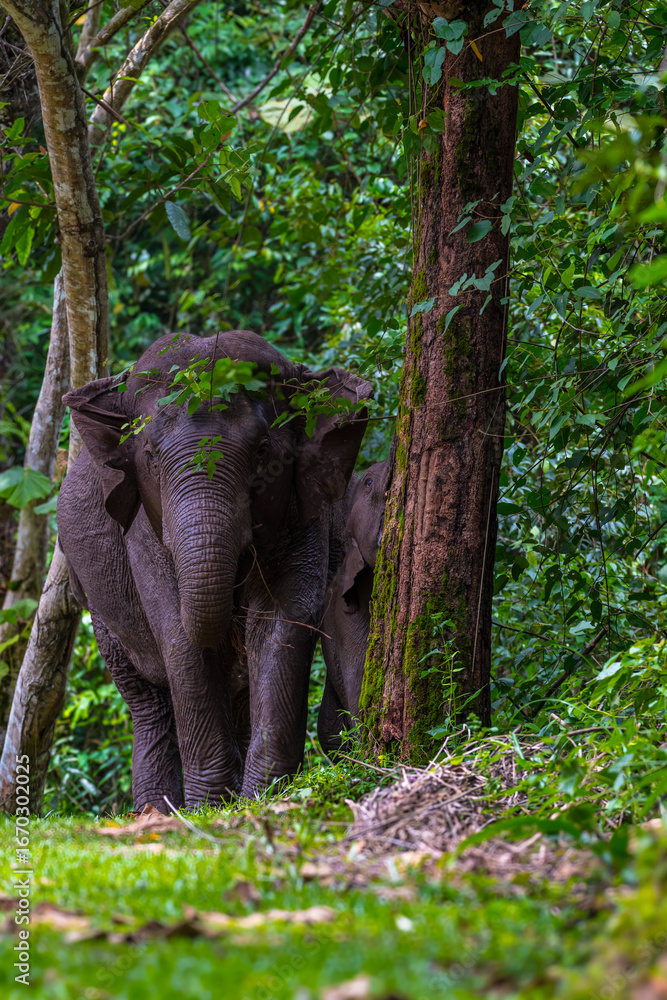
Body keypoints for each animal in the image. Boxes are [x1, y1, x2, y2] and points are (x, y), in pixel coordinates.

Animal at [57, 330, 371, 810]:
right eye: (150, 455)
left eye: (263, 451)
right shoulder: (143, 528)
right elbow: (178, 633)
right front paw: (209, 807)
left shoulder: (305, 508)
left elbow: (282, 619)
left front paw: (264, 798)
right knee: (148, 701)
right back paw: (155, 812)